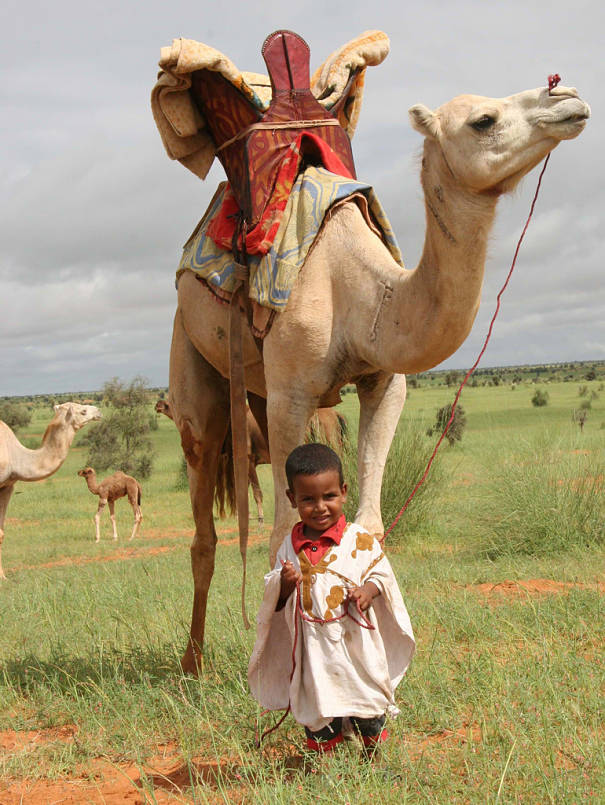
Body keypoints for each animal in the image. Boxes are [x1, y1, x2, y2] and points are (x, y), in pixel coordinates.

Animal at [0, 402, 101, 576]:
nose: (99, 411)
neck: (15, 456)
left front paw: (3, 577)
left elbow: (0, 534)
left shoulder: (7, 486)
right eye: (83, 411)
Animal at [162, 75, 588, 668]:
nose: (568, 98)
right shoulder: (292, 391)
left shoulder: (384, 382)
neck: (359, 293)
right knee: (203, 514)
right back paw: (192, 663)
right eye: (483, 120)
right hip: (192, 356)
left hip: (259, 390)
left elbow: (369, 526)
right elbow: (281, 533)